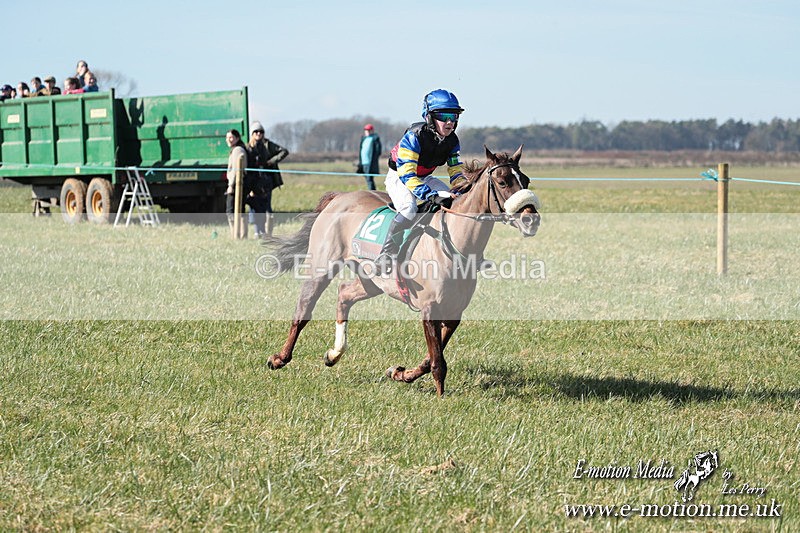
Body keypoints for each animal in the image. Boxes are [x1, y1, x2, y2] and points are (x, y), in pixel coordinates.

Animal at [262, 146, 541, 397]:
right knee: (303, 310)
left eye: (525, 180)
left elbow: (430, 358)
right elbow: (438, 362)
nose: (531, 219)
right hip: (322, 266)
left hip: (372, 280)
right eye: (502, 182)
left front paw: (400, 373)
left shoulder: (454, 312)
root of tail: (339, 197)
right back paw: (280, 358)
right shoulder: (429, 308)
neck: (452, 242)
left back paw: (334, 353)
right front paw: (441, 398)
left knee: (344, 294)